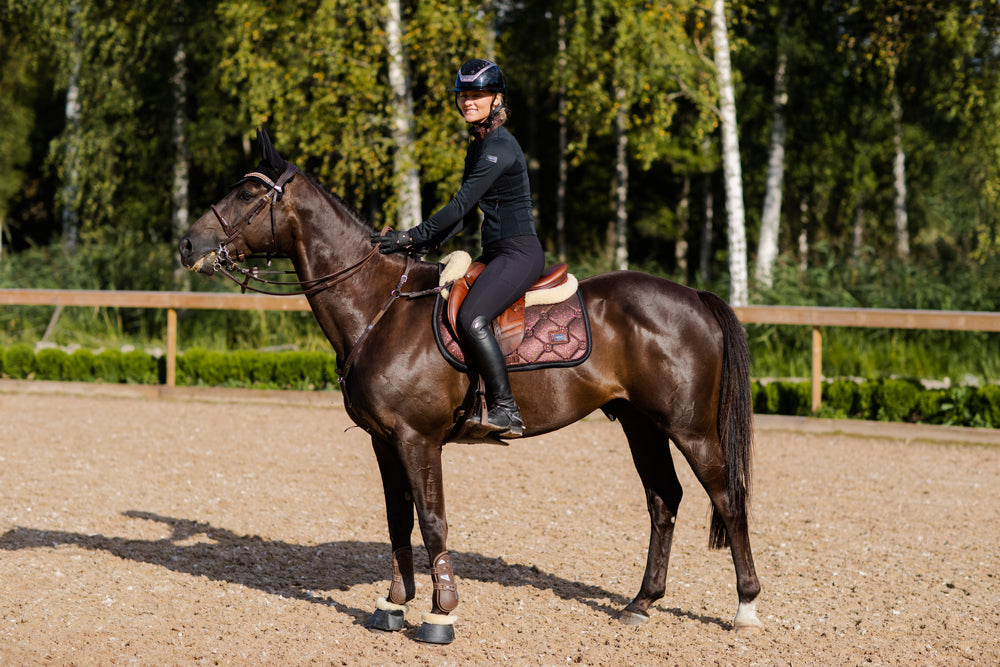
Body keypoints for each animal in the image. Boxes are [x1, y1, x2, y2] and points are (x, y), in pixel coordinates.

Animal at [178, 128, 756, 644]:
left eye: (248, 193)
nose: (187, 244)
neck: (379, 307)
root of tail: (694, 297)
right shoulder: (384, 441)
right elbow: (398, 521)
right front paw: (394, 604)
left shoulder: (418, 439)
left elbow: (433, 521)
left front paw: (441, 614)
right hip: (641, 423)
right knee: (664, 500)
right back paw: (641, 603)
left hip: (690, 428)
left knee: (727, 497)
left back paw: (745, 607)